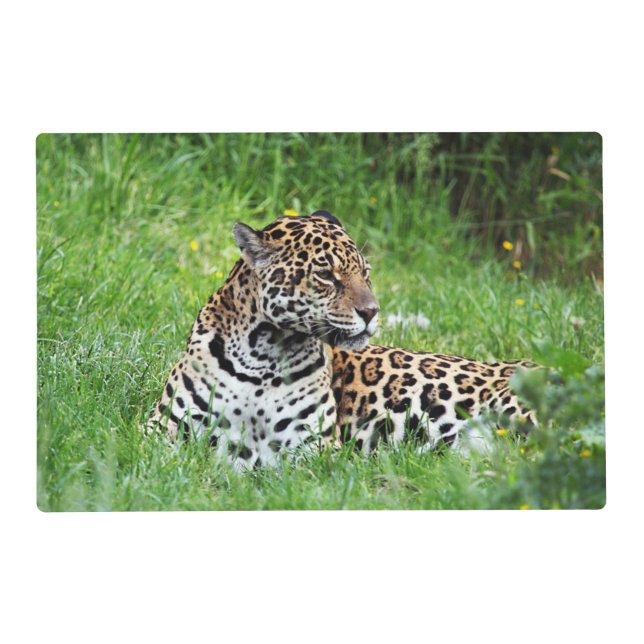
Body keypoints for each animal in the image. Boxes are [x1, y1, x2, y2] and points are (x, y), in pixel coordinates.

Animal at [148, 210, 537, 469]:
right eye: (325, 275)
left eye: (365, 273)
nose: (372, 311)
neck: (263, 354)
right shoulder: (164, 428)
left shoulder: (311, 449)